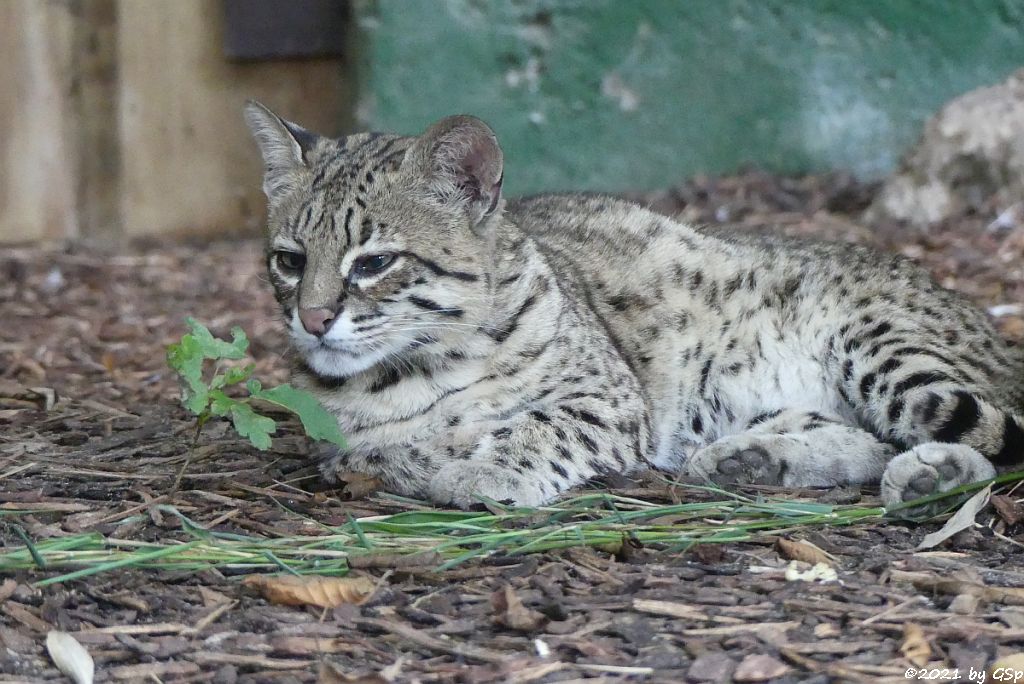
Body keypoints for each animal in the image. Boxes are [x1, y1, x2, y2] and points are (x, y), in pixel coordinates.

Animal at [243, 98, 1019, 509]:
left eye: (374, 263)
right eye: (290, 261)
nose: (311, 320)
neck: (408, 367)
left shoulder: (610, 401)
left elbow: (534, 429)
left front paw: (478, 469)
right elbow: (381, 448)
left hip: (883, 349)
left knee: (996, 435)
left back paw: (935, 471)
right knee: (871, 437)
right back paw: (757, 461)